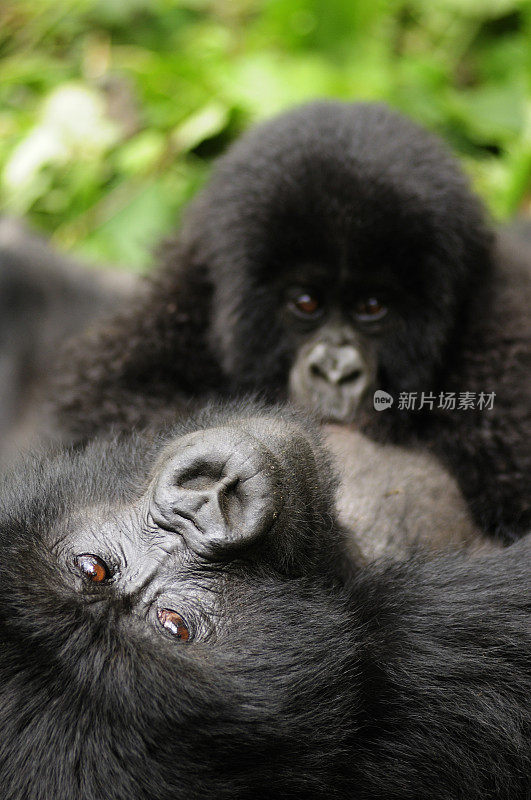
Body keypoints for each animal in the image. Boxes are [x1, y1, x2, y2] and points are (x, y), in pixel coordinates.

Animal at [55, 98, 531, 536]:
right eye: (305, 302)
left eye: (372, 306)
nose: (335, 372)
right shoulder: (175, 302)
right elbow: (116, 399)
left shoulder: (500, 359)